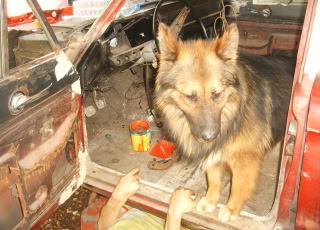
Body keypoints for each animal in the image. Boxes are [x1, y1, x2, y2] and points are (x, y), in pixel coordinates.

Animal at [154, 22, 294, 221]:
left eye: (217, 94)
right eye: (190, 96)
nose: (210, 136)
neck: (234, 113)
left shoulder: (244, 160)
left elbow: (237, 186)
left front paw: (231, 208)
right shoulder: (214, 151)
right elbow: (213, 178)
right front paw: (211, 200)